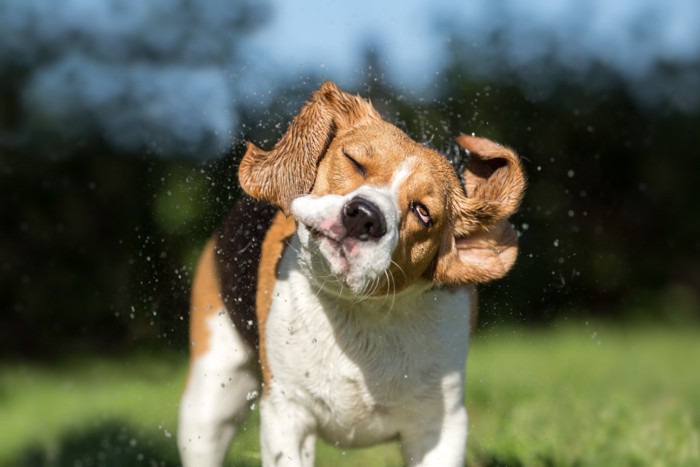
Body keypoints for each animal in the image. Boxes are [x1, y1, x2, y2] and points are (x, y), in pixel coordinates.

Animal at [176, 82, 524, 466]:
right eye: (354, 161)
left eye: (423, 212)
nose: (365, 216)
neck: (360, 311)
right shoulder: (287, 412)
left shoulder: (441, 425)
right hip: (209, 402)